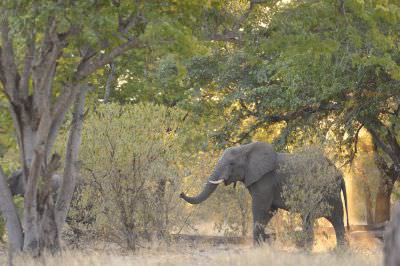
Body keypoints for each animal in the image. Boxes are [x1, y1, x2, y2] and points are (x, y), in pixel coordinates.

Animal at [180, 142, 348, 248]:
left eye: (231, 164)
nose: (180, 193)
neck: (246, 148)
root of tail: (340, 173)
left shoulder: (265, 180)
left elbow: (260, 208)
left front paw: (257, 248)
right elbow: (269, 211)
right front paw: (262, 243)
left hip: (329, 189)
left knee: (335, 217)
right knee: (314, 218)